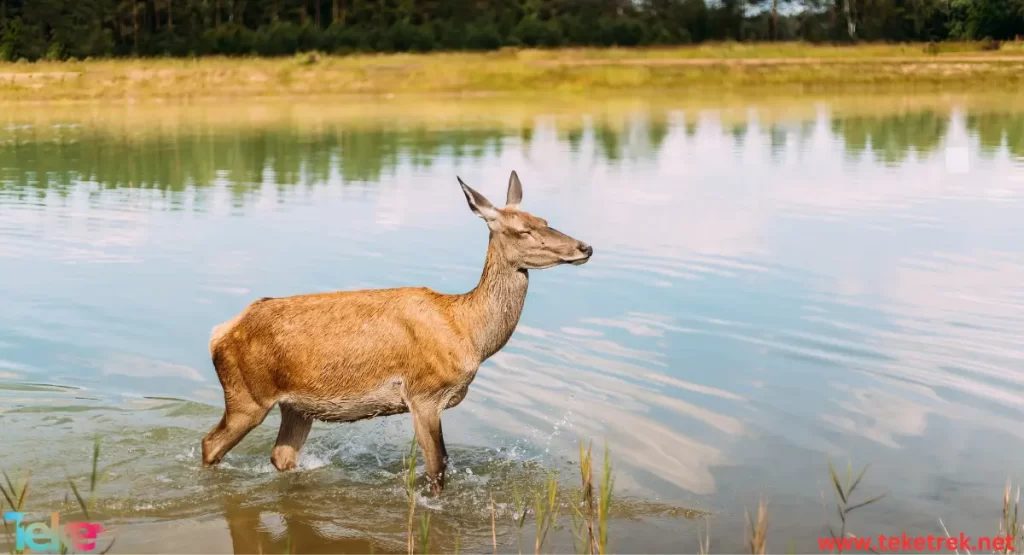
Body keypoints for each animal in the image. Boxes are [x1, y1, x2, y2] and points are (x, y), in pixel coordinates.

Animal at [199, 171, 593, 495]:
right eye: (523, 230)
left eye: (545, 220)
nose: (585, 247)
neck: (469, 332)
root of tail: (219, 333)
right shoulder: (424, 393)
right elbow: (437, 469)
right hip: (247, 395)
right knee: (210, 444)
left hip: (296, 407)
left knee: (281, 456)